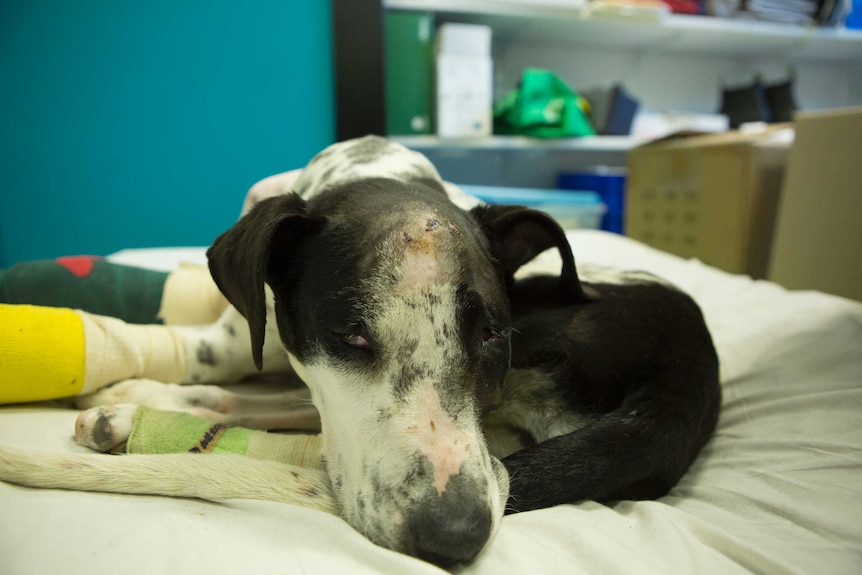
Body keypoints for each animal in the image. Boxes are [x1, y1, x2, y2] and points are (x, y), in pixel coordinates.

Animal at [0, 136, 724, 568]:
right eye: (350, 334)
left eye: (494, 333)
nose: (453, 535)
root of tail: (687, 383)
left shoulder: (229, 346)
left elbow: (198, 361)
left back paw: (131, 416)